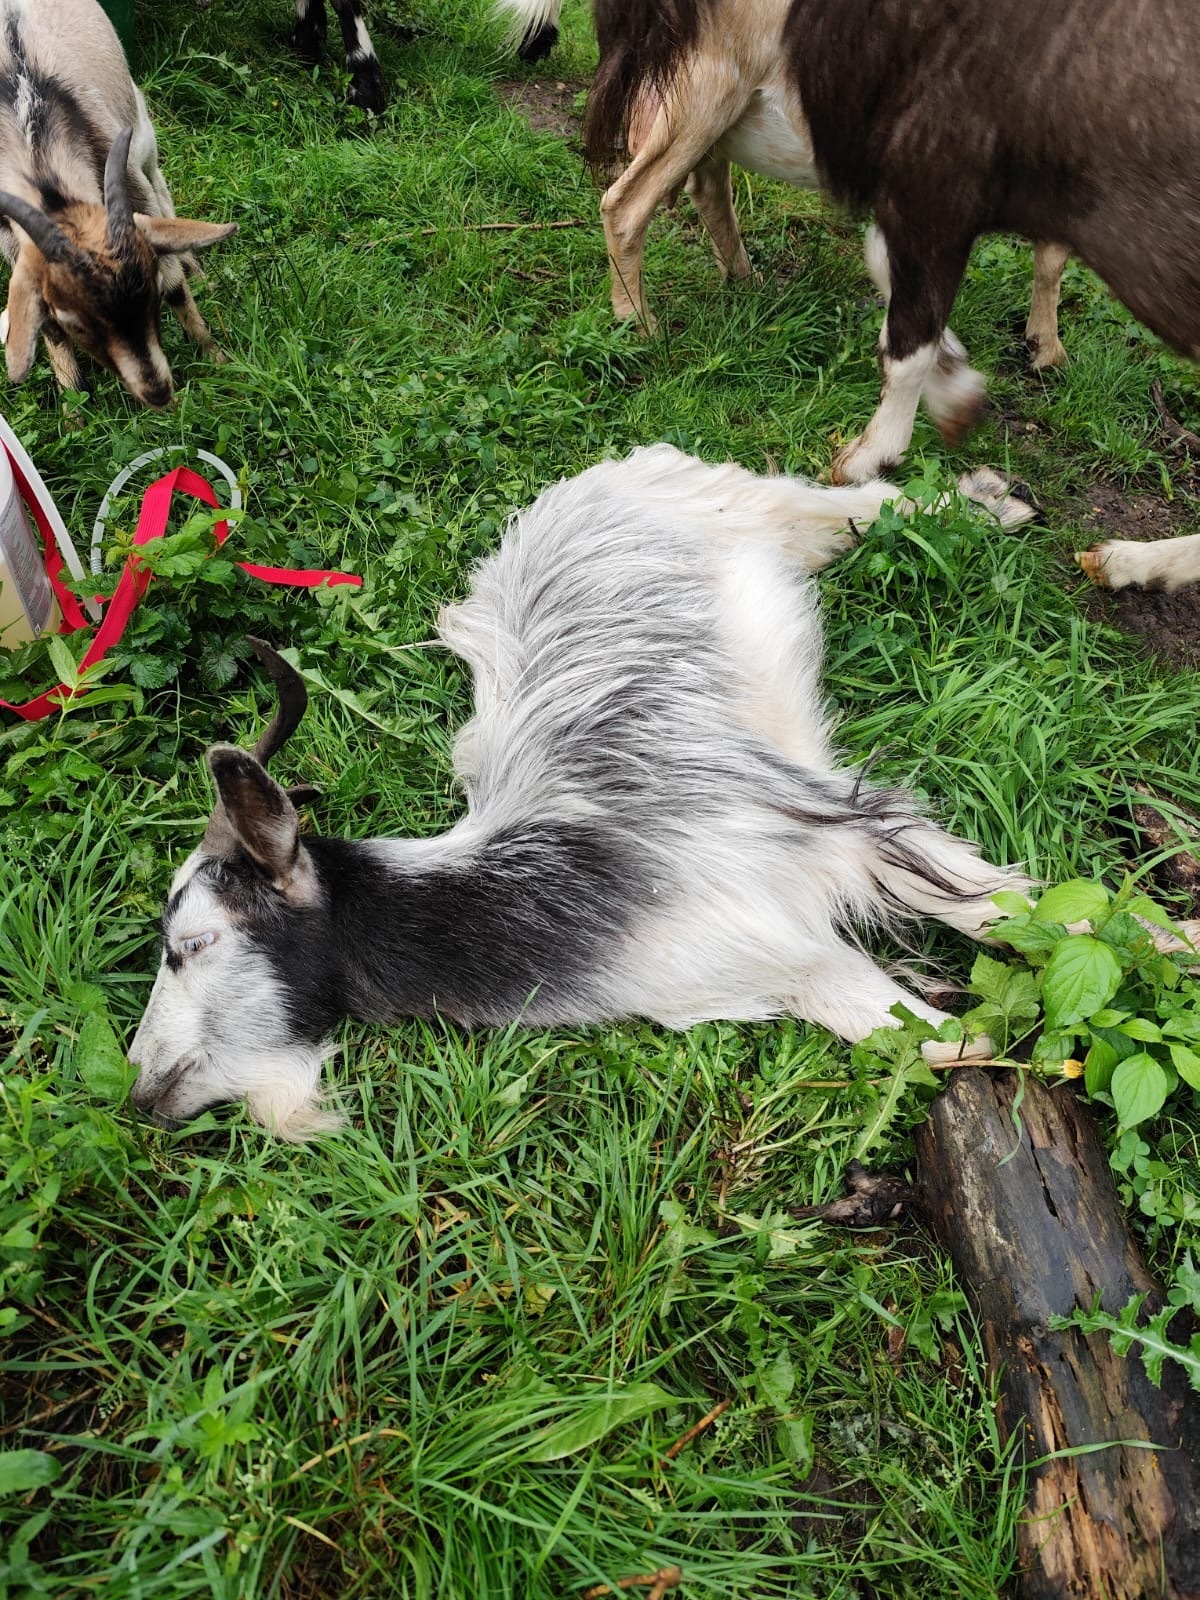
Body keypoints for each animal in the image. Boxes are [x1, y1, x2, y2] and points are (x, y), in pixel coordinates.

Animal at [0, 0, 236, 406]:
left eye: (152, 290)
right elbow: (47, 330)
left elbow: (175, 284)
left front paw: (214, 355)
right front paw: (74, 408)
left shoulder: (128, 180)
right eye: (74, 323)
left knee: (162, 188)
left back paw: (196, 266)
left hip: (141, 131)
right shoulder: (13, 244)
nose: (157, 393)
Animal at [127, 448, 1043, 1139]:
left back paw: (994, 503)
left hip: (759, 508)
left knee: (865, 505)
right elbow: (951, 1042)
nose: (140, 1090)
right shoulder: (790, 967)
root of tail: (601, 477)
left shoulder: (839, 825)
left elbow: (1021, 913)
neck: (560, 886)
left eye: (194, 942)